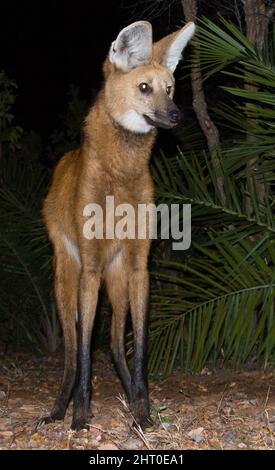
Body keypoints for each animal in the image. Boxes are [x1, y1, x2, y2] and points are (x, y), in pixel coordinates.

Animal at [42, 19, 195, 430]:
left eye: (170, 88)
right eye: (144, 88)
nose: (177, 115)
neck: (121, 175)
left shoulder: (140, 266)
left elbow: (139, 347)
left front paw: (142, 410)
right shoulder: (90, 269)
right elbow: (83, 352)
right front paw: (80, 415)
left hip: (119, 278)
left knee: (113, 344)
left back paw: (129, 393)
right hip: (68, 277)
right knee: (71, 349)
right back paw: (58, 409)